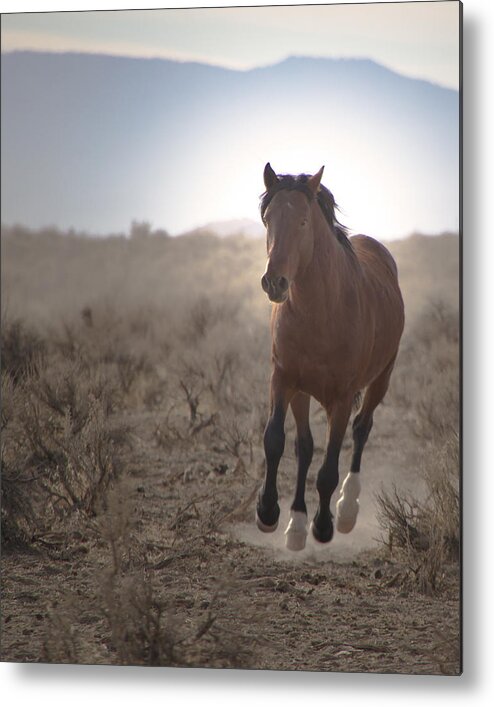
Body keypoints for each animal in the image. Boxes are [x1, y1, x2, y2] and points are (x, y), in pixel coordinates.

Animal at [256, 165, 404, 552]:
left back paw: (348, 508)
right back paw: (296, 522)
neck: (322, 313)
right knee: (306, 447)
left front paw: (323, 526)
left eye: (304, 221)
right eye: (267, 219)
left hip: (381, 379)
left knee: (362, 429)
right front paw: (270, 513)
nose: (274, 282)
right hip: (303, 391)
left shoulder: (342, 398)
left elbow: (328, 469)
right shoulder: (284, 380)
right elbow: (278, 441)